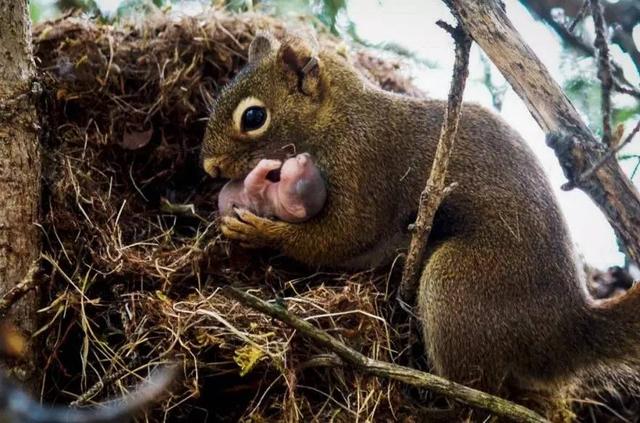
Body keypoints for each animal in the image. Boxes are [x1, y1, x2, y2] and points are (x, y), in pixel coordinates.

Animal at [202, 33, 640, 414]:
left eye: (254, 116)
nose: (209, 168)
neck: (338, 118)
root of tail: (569, 329)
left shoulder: (365, 164)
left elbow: (342, 236)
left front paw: (259, 231)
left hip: (459, 285)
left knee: (478, 390)